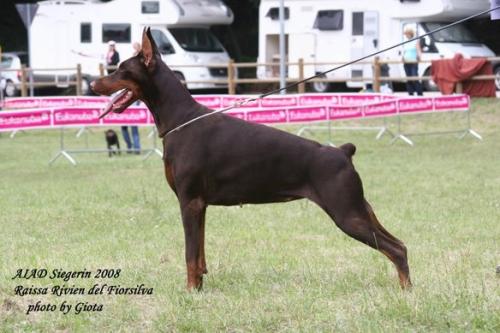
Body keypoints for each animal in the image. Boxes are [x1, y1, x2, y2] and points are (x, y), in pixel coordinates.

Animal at [90, 28, 410, 290]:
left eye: (121, 69)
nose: (93, 84)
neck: (180, 119)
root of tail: (342, 151)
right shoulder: (200, 205)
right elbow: (200, 253)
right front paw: (201, 286)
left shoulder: (189, 201)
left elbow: (190, 254)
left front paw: (190, 291)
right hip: (361, 208)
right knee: (400, 244)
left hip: (346, 212)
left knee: (395, 250)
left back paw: (406, 292)